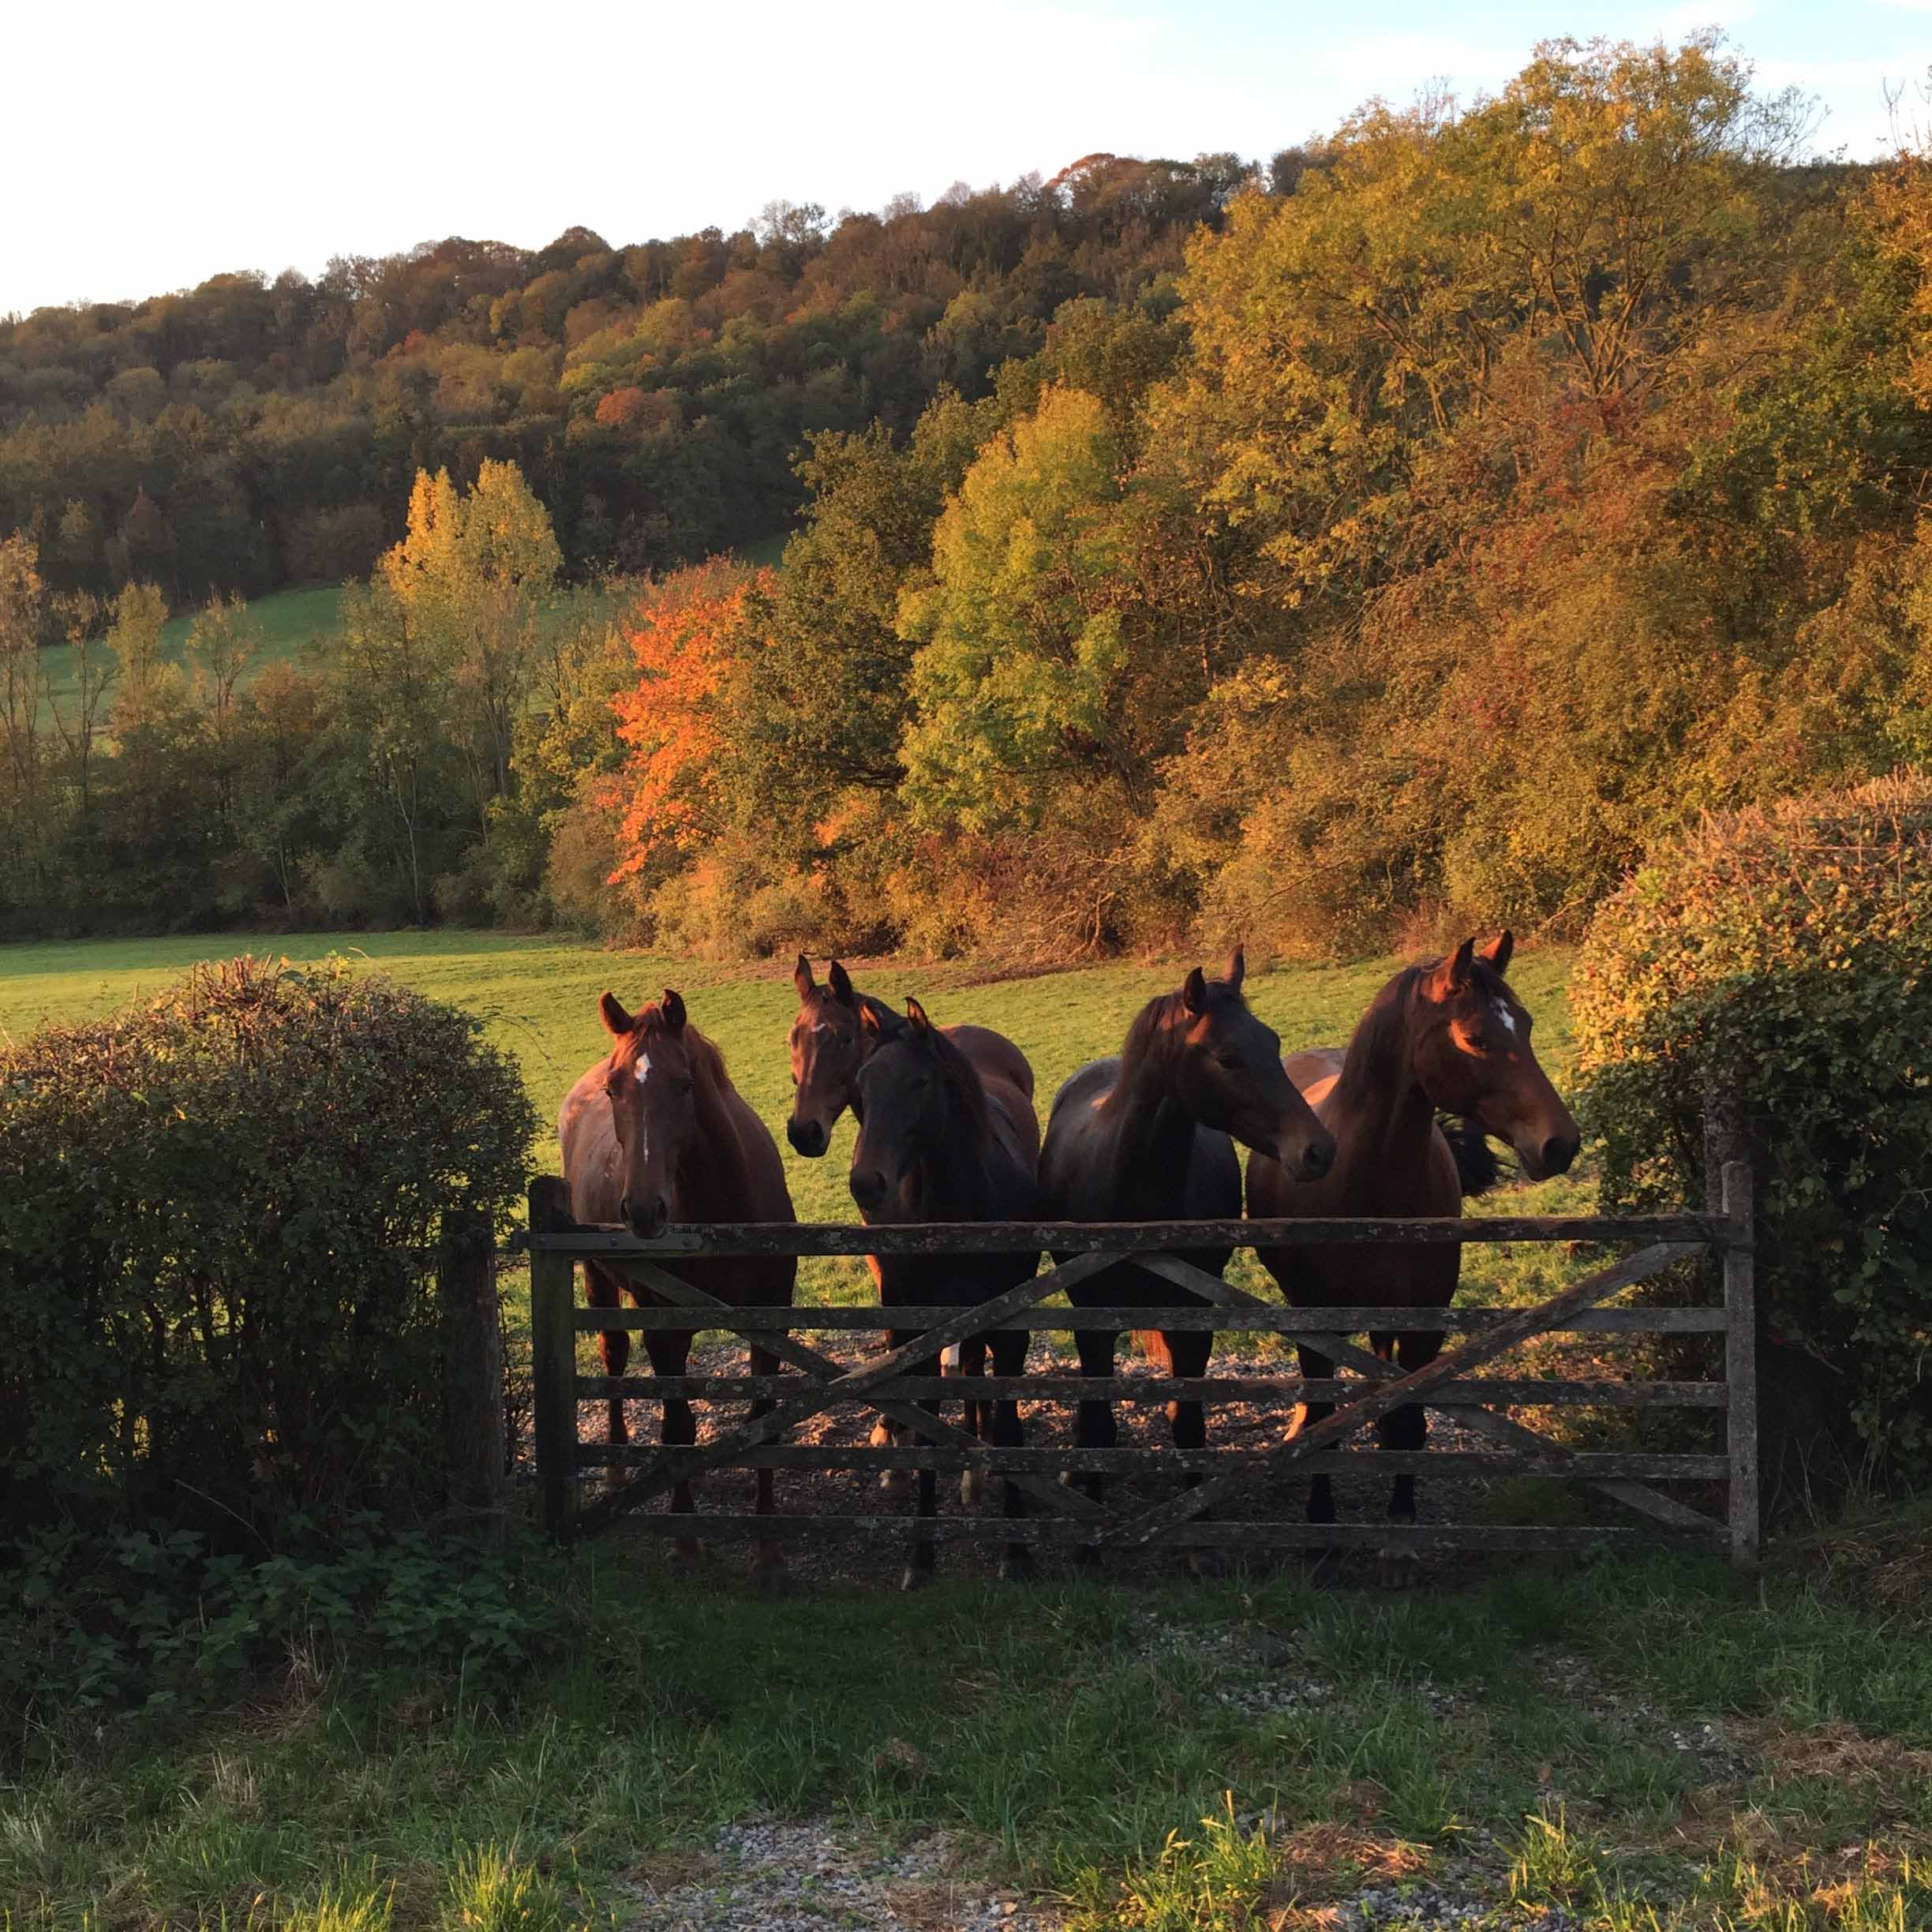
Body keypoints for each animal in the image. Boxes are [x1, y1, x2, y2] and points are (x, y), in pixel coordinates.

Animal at [558, 987, 798, 1587]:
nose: (644, 1211)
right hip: (598, 1281)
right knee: (614, 1359)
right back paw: (618, 1472)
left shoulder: (771, 1321)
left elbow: (763, 1426)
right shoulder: (664, 1329)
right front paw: (686, 1542)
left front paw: (768, 1552)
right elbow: (677, 1427)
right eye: (615, 1088)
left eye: (684, 1084)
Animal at [848, 997, 1041, 1589]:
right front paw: (920, 1554)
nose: (866, 1184)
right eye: (861, 1085)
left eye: (919, 1082)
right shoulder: (928, 1325)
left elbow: (1010, 1426)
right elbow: (930, 1431)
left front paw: (1016, 1550)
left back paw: (975, 1473)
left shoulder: (1011, 1328)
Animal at [1036, 950, 1336, 1570]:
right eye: (1227, 1057)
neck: (1131, 1194)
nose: (1317, 1150)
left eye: (1273, 1041)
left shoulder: (1194, 1318)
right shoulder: (1091, 1319)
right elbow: (1098, 1421)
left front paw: (1197, 1532)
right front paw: (1090, 1532)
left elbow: (1189, 1424)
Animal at [1246, 933, 1580, 1544]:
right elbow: (1325, 1420)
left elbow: (1408, 1419)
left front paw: (1401, 1513)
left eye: (1524, 1024)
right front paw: (1320, 1514)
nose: (1559, 1143)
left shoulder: (1424, 1319)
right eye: (1475, 1038)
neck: (1364, 1180)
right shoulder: (1316, 1322)